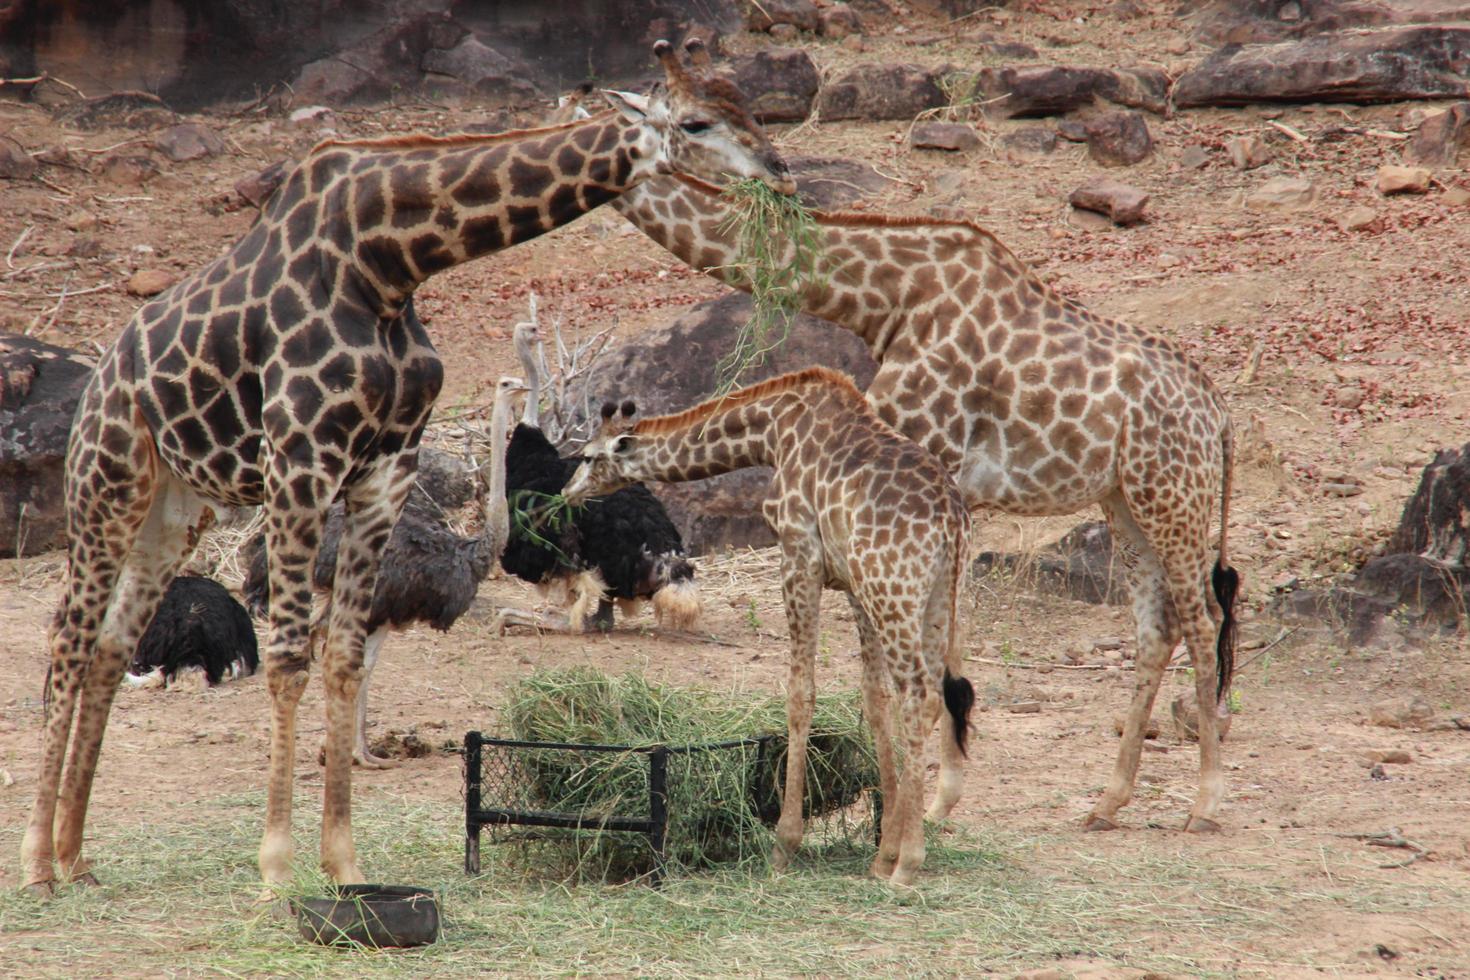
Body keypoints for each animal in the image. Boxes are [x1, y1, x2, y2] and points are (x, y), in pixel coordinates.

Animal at [17, 40, 793, 899]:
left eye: (746, 105)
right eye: (696, 122)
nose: (780, 171)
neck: (390, 259)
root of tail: (101, 376)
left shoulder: (382, 471)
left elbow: (345, 655)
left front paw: (342, 863)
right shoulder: (302, 463)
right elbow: (291, 656)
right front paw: (277, 869)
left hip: (176, 507)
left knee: (113, 644)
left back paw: (75, 853)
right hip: (108, 482)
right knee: (69, 635)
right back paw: (37, 860)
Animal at [561, 370, 976, 887]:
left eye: (588, 456)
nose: (567, 492)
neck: (774, 433)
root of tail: (952, 521)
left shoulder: (799, 557)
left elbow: (801, 692)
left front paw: (785, 844)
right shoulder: (852, 584)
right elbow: (874, 698)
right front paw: (881, 854)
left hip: (893, 590)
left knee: (919, 694)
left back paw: (910, 866)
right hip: (931, 594)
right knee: (933, 695)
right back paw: (901, 854)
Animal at [608, 172, 1240, 840]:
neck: (891, 296)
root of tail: (1221, 416)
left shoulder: (917, 468)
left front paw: (924, 807)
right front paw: (931, 803)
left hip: (1173, 495)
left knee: (1203, 619)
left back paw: (1203, 804)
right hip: (1125, 499)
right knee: (1158, 625)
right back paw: (1108, 801)